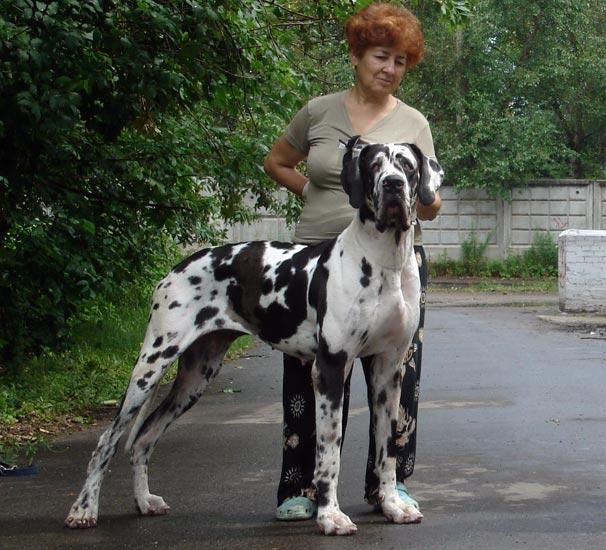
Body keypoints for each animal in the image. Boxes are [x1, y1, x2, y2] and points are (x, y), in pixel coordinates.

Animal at [64, 136, 443, 535]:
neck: (385, 260)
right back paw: (83, 510)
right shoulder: (330, 367)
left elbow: (387, 451)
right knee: (107, 442)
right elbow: (328, 453)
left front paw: (391, 506)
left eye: (406, 166)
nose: (393, 185)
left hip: (197, 375)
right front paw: (330, 517)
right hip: (150, 365)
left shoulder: (388, 371)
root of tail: (176, 268)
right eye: (374, 166)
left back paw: (143, 502)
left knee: (143, 439)